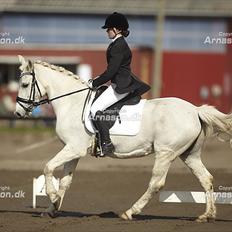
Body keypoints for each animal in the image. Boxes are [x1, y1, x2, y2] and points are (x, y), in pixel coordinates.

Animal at [14, 55, 232, 221]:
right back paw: (206, 215)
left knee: (156, 183)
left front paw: (51, 196)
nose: (18, 113)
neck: (72, 102)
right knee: (206, 178)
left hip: (165, 153)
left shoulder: (74, 148)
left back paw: (130, 212)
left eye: (25, 84)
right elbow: (65, 181)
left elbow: (48, 167)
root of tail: (195, 110)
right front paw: (52, 208)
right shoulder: (73, 151)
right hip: (189, 154)